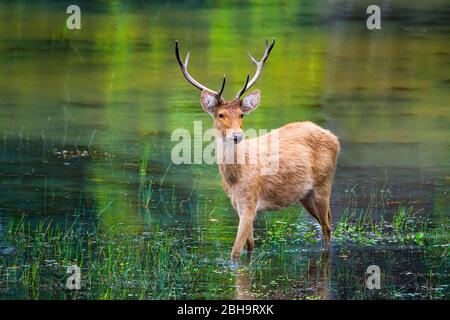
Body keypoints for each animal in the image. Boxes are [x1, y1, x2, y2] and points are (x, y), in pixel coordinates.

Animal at [174, 39, 340, 260]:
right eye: (220, 114)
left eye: (241, 114)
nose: (237, 135)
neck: (236, 178)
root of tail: (334, 138)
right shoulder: (238, 204)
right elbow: (250, 246)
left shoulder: (250, 201)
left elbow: (235, 252)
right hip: (306, 195)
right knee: (328, 221)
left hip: (324, 182)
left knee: (327, 226)